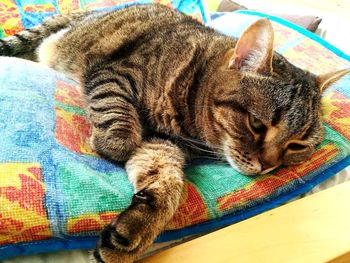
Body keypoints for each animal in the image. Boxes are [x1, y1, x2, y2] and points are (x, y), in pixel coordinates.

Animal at [1, 4, 348, 263]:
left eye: (297, 145)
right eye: (257, 124)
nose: (269, 166)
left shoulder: (164, 143)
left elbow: (166, 183)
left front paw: (138, 227)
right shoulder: (115, 72)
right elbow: (116, 117)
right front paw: (113, 143)